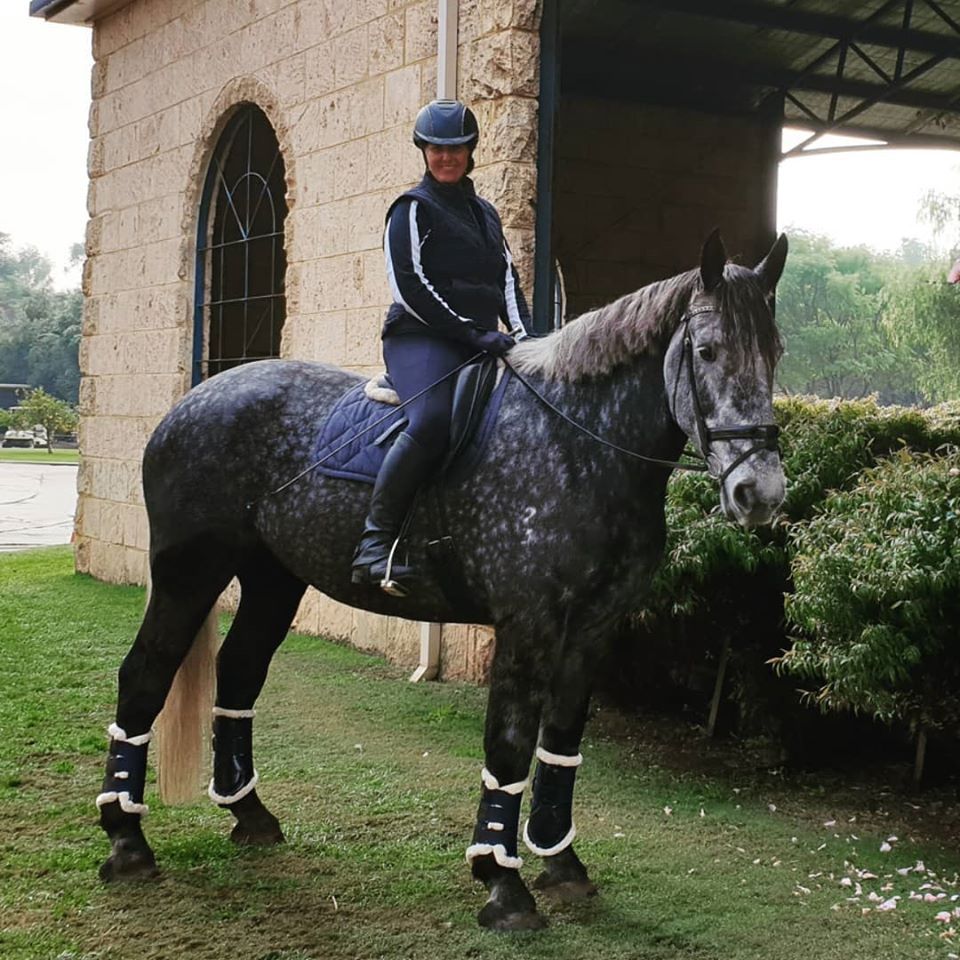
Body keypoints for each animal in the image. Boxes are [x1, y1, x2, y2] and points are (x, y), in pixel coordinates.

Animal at [95, 231, 788, 928]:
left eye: (775, 352)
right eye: (707, 350)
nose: (759, 492)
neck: (577, 440)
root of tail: (192, 401)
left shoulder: (593, 626)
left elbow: (561, 740)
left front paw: (561, 862)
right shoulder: (529, 624)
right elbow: (508, 743)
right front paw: (502, 883)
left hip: (273, 579)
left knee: (238, 672)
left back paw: (248, 813)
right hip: (189, 573)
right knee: (145, 673)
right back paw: (126, 838)